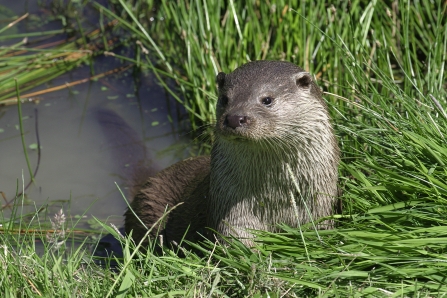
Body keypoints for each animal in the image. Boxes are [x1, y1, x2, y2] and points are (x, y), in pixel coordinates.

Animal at [124, 60, 338, 247]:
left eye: (267, 99)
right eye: (225, 99)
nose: (235, 118)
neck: (276, 201)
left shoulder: (320, 206)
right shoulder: (232, 206)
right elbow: (235, 237)